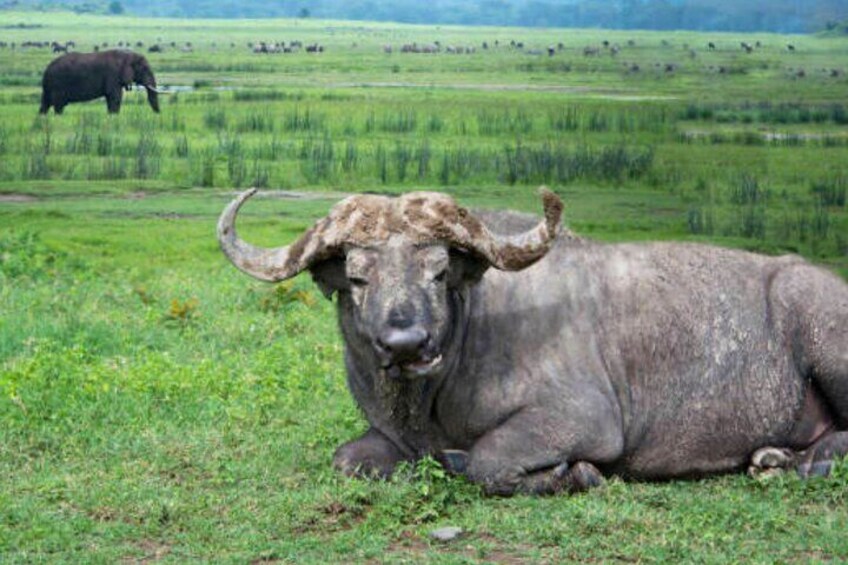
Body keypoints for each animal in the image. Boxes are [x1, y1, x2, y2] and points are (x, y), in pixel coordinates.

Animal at [219, 189, 848, 496]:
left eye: (439, 271)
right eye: (357, 276)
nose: (405, 343)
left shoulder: (582, 419)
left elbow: (486, 462)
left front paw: (575, 475)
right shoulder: (387, 437)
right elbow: (347, 459)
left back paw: (795, 463)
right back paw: (777, 457)